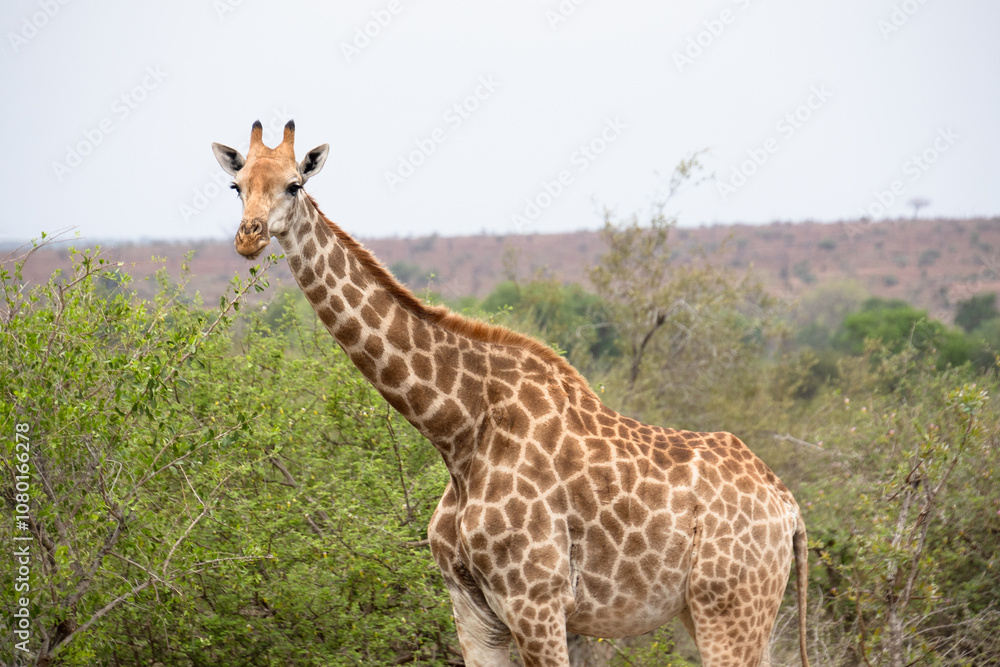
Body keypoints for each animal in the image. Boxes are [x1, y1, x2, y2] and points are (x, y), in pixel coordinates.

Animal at [213, 120, 811, 667]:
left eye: (295, 184)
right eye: (236, 185)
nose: (249, 236)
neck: (457, 431)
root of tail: (789, 508)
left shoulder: (536, 601)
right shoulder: (472, 609)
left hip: (729, 609)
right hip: (715, 610)